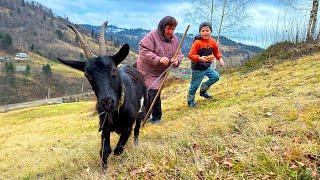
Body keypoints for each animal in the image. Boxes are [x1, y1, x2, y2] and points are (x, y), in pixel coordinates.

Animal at [57, 22, 147, 169]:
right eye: (87, 75)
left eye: (113, 69)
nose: (107, 102)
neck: (116, 111)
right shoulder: (104, 126)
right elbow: (105, 151)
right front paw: (104, 170)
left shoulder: (128, 124)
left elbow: (118, 149)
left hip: (142, 110)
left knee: (137, 129)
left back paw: (135, 144)